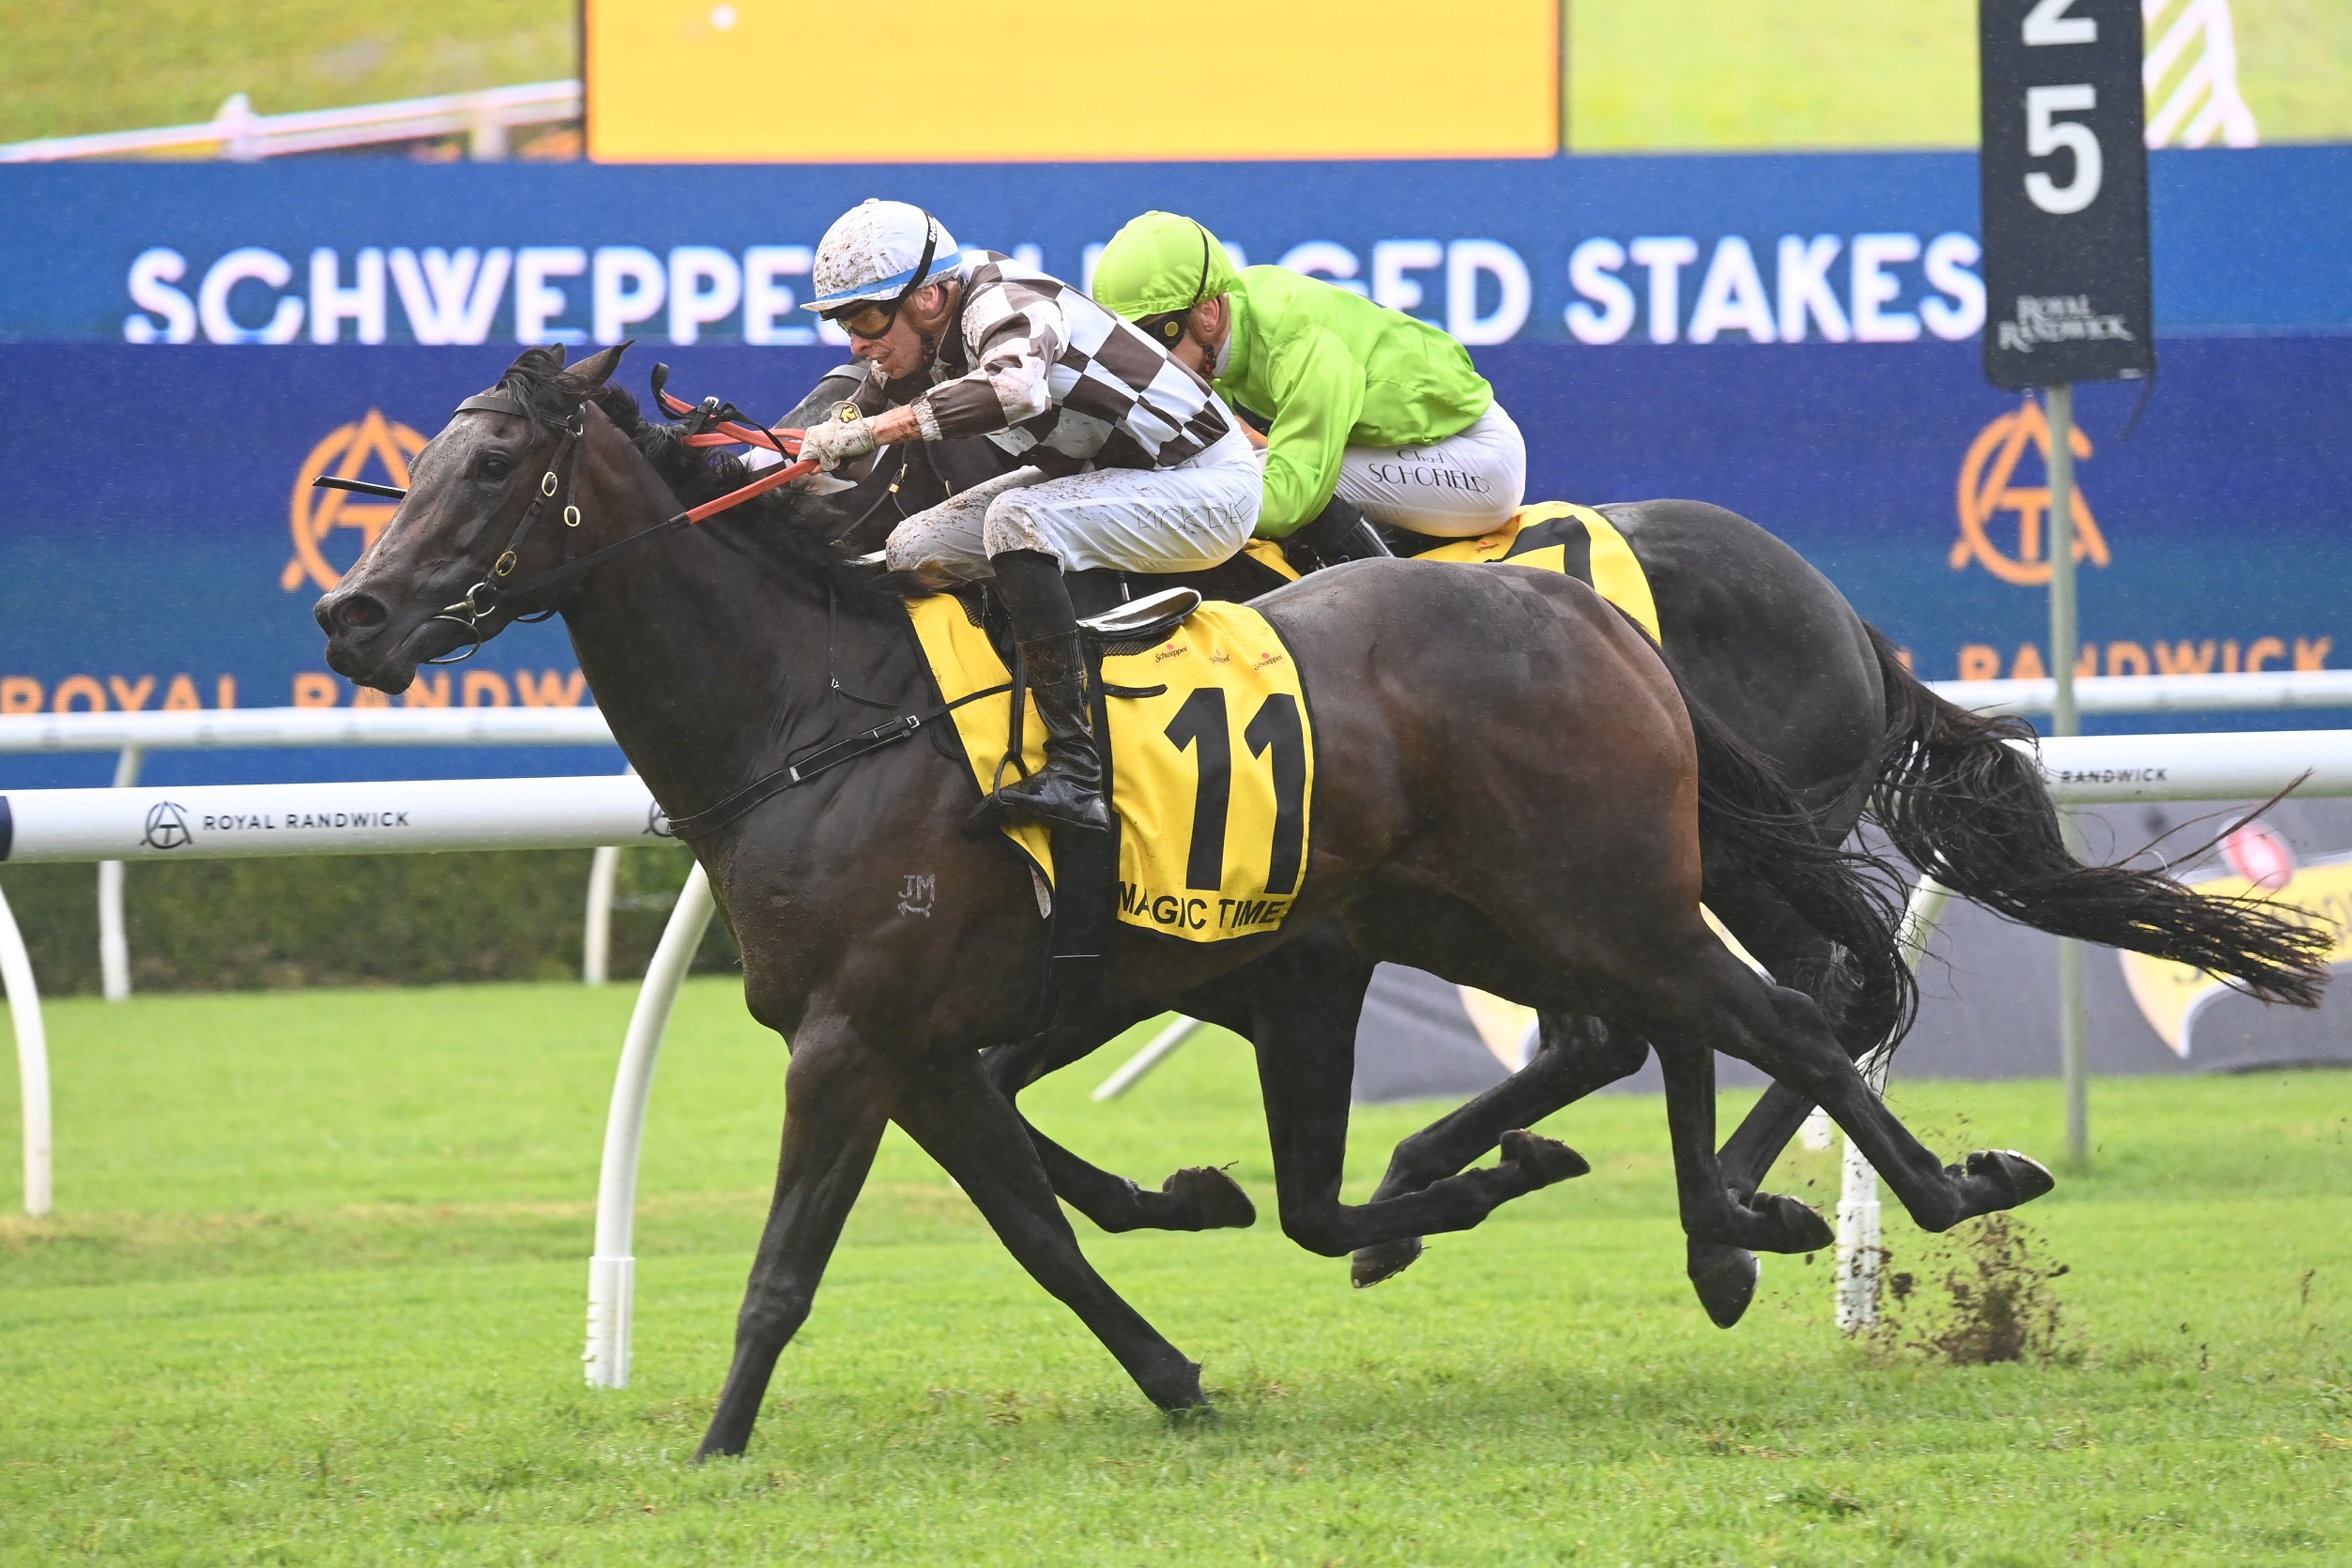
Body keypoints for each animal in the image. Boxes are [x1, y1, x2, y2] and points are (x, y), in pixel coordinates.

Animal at [315, 344, 2060, 1459]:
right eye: (406, 469)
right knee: (1687, 1026)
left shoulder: (866, 1035)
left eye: (488, 465)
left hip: (1604, 890)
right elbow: (1046, 1220)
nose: (355, 613)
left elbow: (790, 1265)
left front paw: (719, 1444)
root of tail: (1592, 618)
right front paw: (1180, 1338)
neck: (817, 715)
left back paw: (1913, 1194)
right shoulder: (946, 1041)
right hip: (1533, 903)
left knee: (1787, 1015)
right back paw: (1699, 1213)